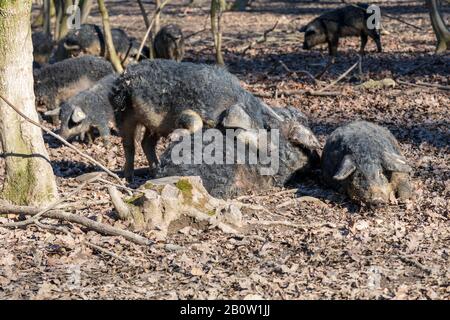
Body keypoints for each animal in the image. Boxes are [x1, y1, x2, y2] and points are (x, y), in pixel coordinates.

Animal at [110, 58, 320, 181]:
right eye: (258, 128)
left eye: (264, 126)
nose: (272, 147)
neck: (226, 103)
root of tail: (122, 75)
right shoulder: (187, 110)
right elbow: (193, 121)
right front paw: (175, 136)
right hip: (123, 112)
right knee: (129, 144)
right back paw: (128, 178)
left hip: (153, 125)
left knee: (147, 142)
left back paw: (154, 170)